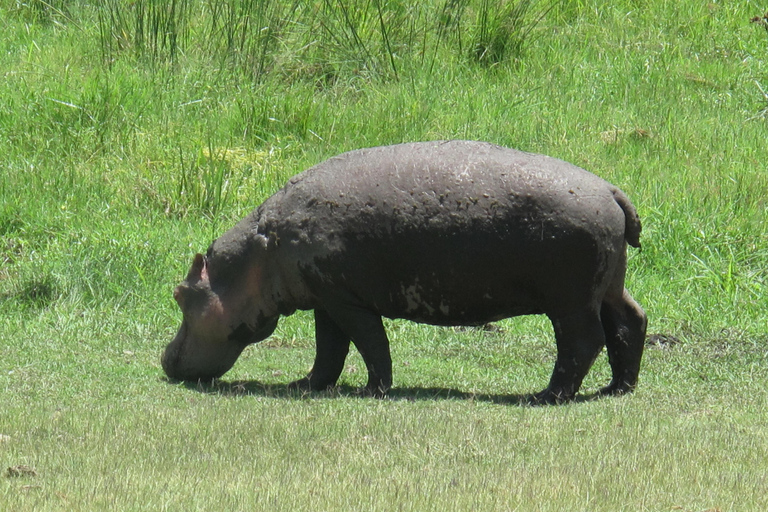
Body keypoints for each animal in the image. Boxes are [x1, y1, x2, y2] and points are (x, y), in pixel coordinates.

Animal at [164, 140, 648, 404]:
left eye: (180, 294)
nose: (165, 358)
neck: (258, 255)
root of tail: (611, 189)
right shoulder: (325, 300)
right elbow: (329, 351)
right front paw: (305, 385)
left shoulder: (348, 302)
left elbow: (370, 345)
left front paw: (373, 391)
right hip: (607, 286)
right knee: (629, 321)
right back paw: (615, 389)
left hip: (571, 301)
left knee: (582, 342)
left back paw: (545, 397)